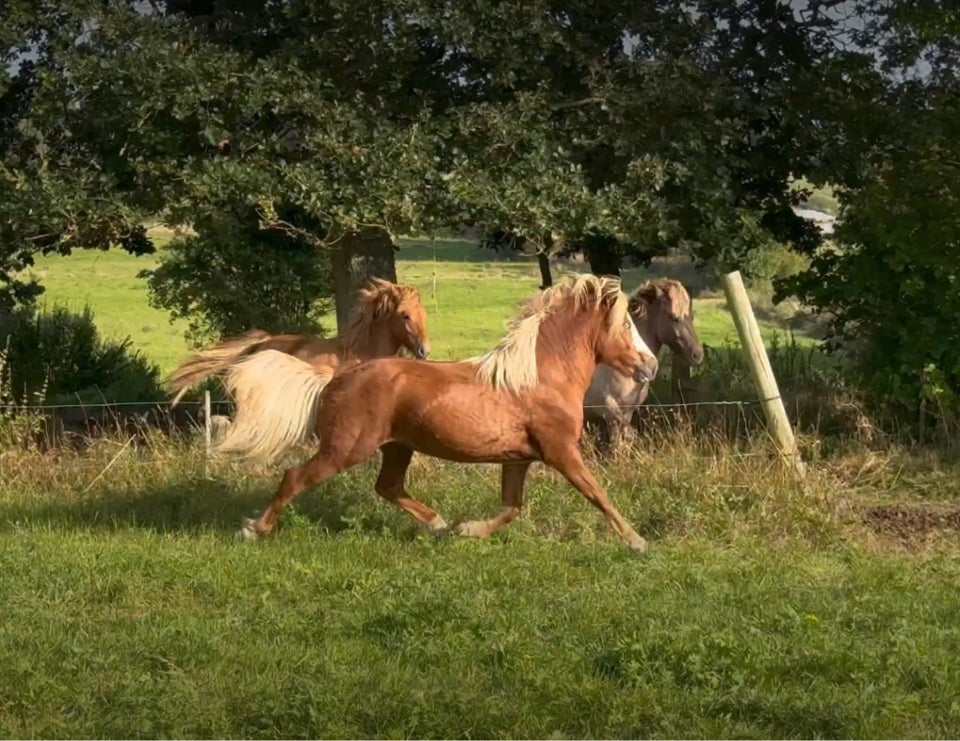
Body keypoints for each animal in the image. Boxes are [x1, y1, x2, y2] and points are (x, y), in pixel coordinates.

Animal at [239, 274, 660, 552]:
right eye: (626, 324)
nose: (651, 366)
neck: (538, 377)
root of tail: (335, 377)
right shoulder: (562, 452)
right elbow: (597, 494)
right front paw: (637, 541)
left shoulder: (518, 458)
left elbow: (512, 506)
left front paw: (468, 530)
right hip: (344, 449)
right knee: (295, 477)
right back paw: (255, 528)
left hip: (397, 447)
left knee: (388, 487)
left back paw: (439, 524)